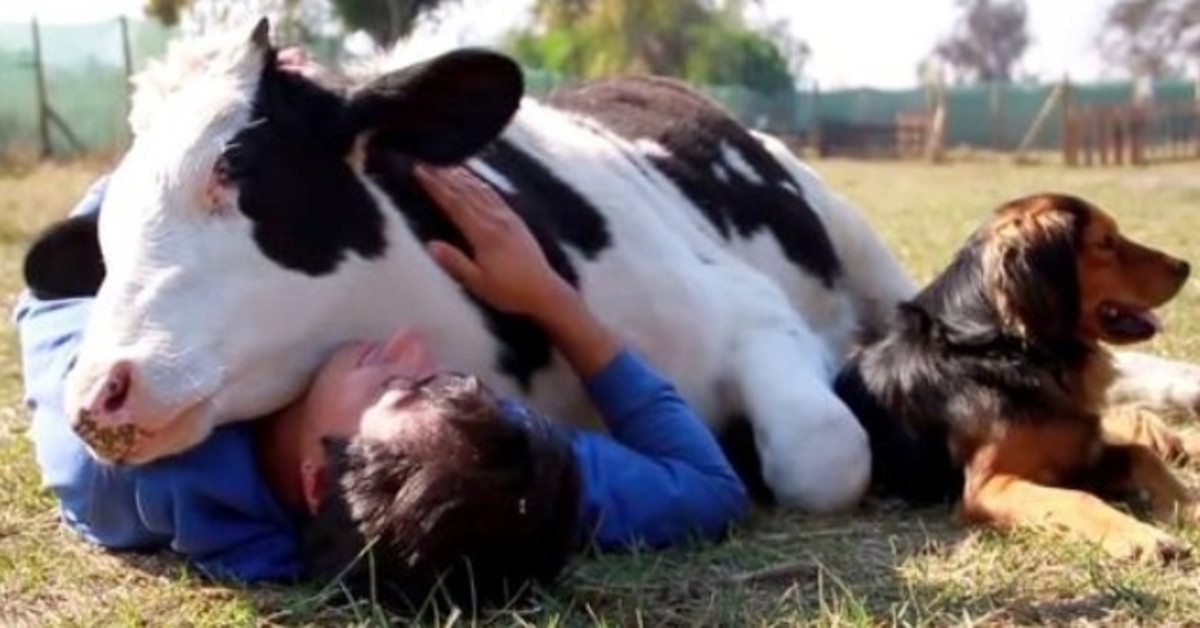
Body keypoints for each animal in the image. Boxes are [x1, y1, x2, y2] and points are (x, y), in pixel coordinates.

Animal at [24, 19, 1200, 514]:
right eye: (111, 219)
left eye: (242, 168)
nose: (99, 395)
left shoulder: (749, 319)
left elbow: (822, 451)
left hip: (855, 236)